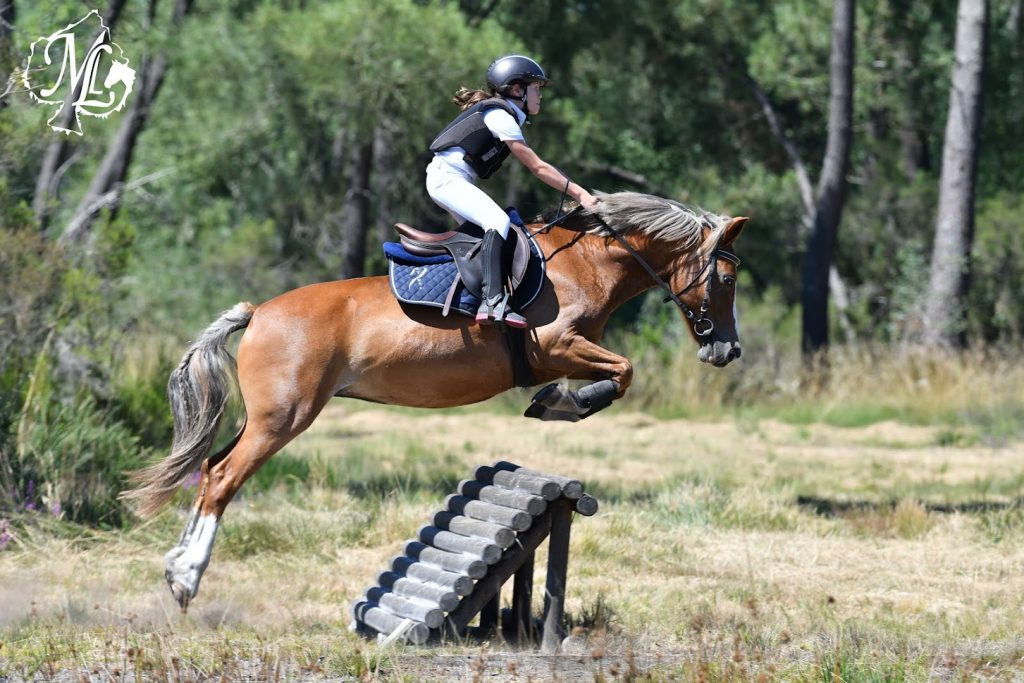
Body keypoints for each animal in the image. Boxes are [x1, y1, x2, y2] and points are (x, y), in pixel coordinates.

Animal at [121, 191, 745, 610]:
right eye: (728, 279)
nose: (728, 349)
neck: (584, 264)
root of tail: (258, 313)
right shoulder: (556, 346)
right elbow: (623, 371)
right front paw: (561, 403)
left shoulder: (568, 350)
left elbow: (621, 372)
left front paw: (561, 402)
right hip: (284, 419)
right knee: (225, 480)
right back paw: (188, 578)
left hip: (262, 418)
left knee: (208, 468)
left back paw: (176, 568)